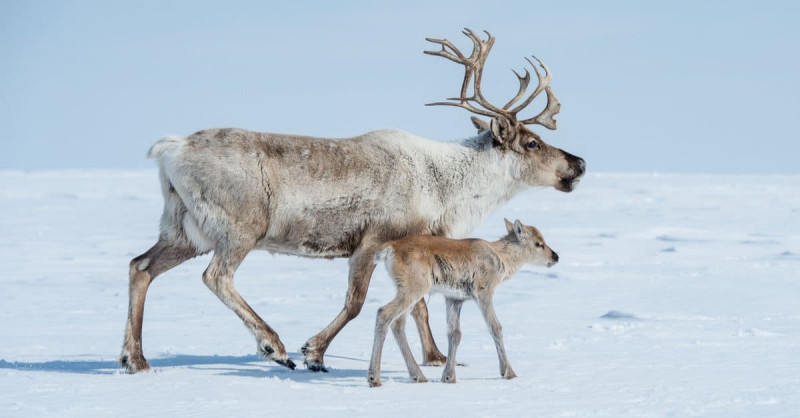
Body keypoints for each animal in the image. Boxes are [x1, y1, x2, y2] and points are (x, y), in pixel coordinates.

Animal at [368, 220, 556, 386]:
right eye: (539, 243)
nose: (556, 257)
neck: (502, 258)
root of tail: (390, 248)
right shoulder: (484, 293)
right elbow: (495, 327)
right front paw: (508, 372)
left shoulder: (454, 299)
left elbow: (455, 334)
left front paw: (449, 377)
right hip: (414, 289)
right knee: (383, 313)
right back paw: (374, 378)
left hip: (409, 292)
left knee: (398, 323)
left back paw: (418, 376)